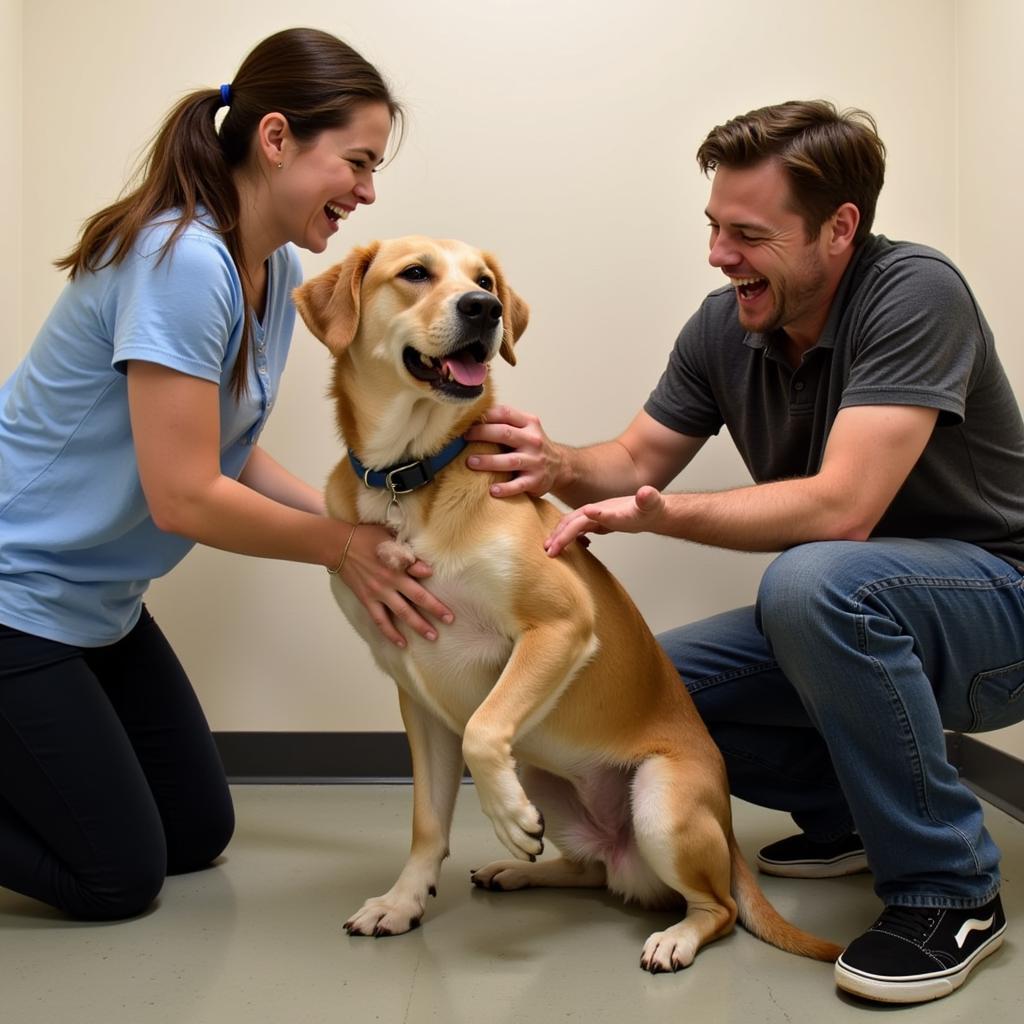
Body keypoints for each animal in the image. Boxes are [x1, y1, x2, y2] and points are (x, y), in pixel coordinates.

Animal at [292, 235, 843, 970]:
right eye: (414, 273)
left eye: (484, 279)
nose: (484, 308)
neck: (412, 479)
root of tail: (725, 835)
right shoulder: (417, 693)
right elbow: (427, 821)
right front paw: (403, 901)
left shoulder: (558, 626)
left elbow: (484, 727)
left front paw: (504, 816)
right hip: (545, 771)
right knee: (593, 869)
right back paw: (518, 871)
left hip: (661, 803)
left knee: (718, 909)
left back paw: (673, 935)